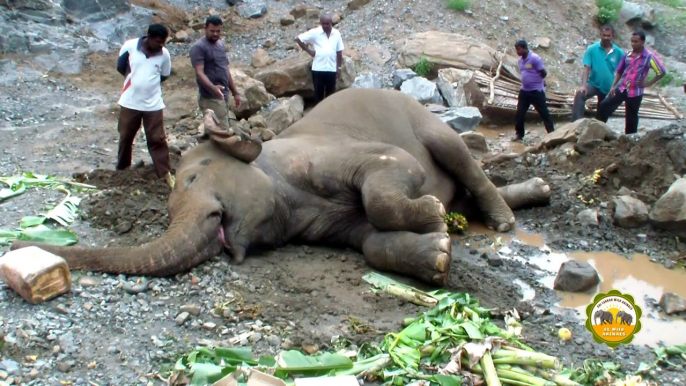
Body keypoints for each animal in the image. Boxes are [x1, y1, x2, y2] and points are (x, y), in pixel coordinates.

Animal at [10, 88, 552, 286]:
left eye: (191, 177)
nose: (17, 248)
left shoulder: (332, 155)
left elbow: (388, 180)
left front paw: (433, 212)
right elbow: (369, 243)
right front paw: (439, 252)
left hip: (427, 122)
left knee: (459, 156)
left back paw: (503, 221)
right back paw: (536, 192)